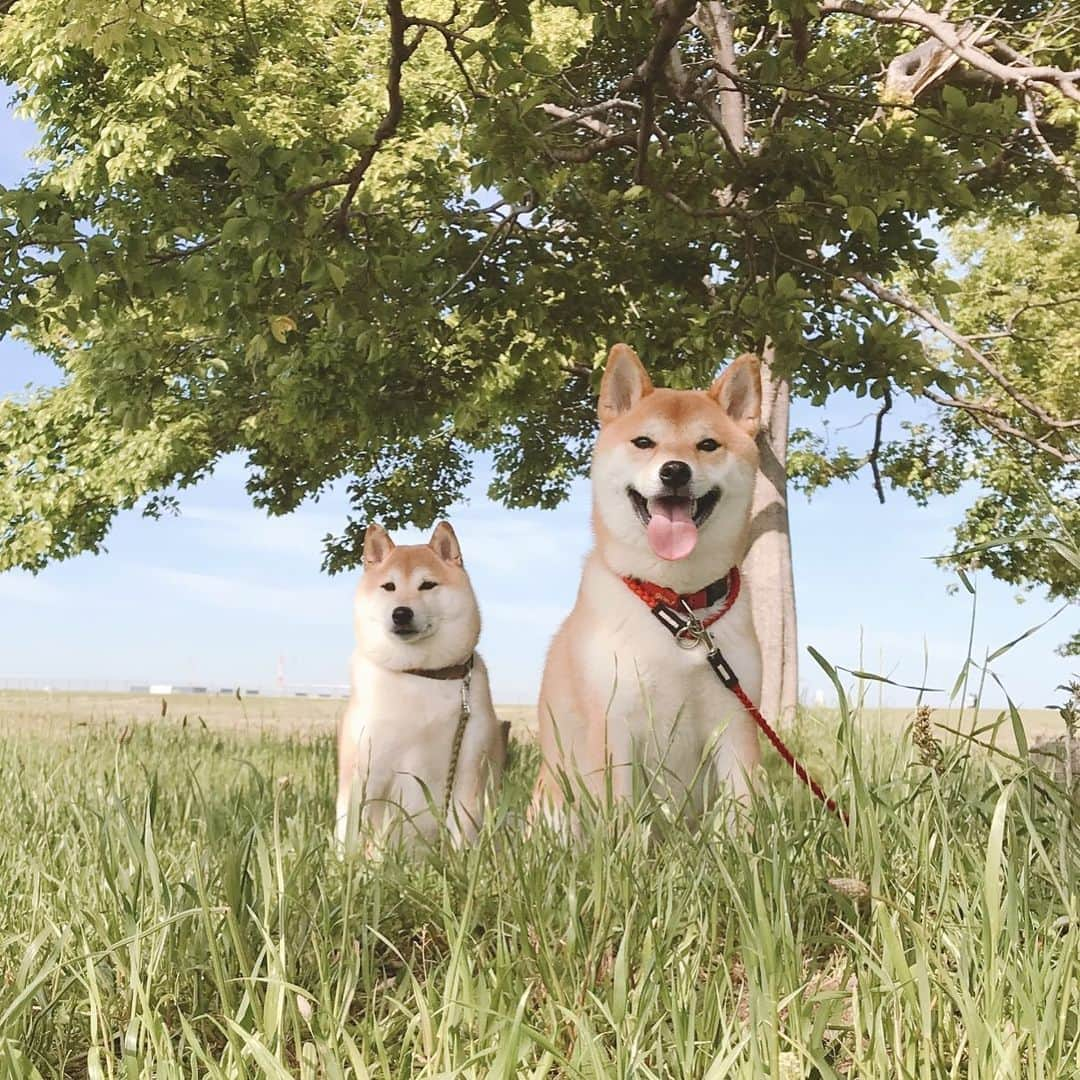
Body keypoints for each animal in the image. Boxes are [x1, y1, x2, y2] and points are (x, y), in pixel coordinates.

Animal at [336, 522, 505, 851]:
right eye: (388, 586)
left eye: (427, 585)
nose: (401, 612)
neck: (420, 674)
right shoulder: (366, 772)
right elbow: (353, 835)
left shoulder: (467, 772)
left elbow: (462, 832)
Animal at [535, 345, 764, 825]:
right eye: (644, 442)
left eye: (707, 445)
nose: (675, 471)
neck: (677, 604)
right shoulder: (614, 726)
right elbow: (621, 813)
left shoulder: (737, 722)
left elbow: (743, 812)